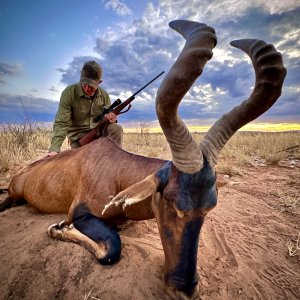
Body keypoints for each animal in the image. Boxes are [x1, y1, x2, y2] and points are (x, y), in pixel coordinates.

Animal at [0, 19, 286, 298]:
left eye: (210, 207)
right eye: (172, 203)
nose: (184, 290)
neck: (115, 168)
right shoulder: (80, 213)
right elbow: (111, 250)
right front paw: (58, 228)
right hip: (14, 194)